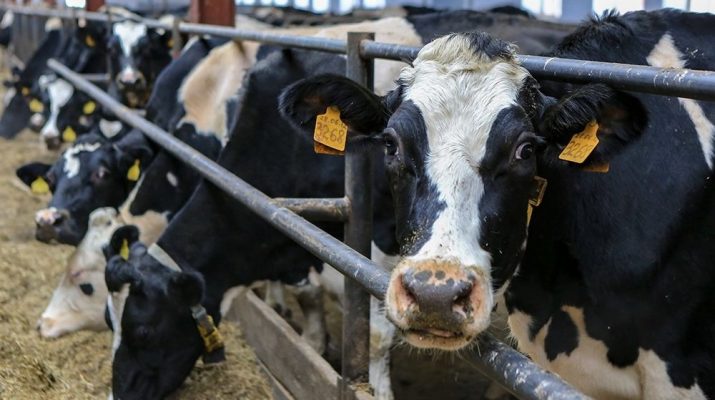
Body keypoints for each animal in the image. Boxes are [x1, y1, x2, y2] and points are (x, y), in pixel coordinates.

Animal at [100, 11, 578, 399]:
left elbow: (376, 333)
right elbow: (309, 294)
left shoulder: (383, 241)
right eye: (110, 321)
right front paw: (311, 342)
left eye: (143, 329)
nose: (119, 393)